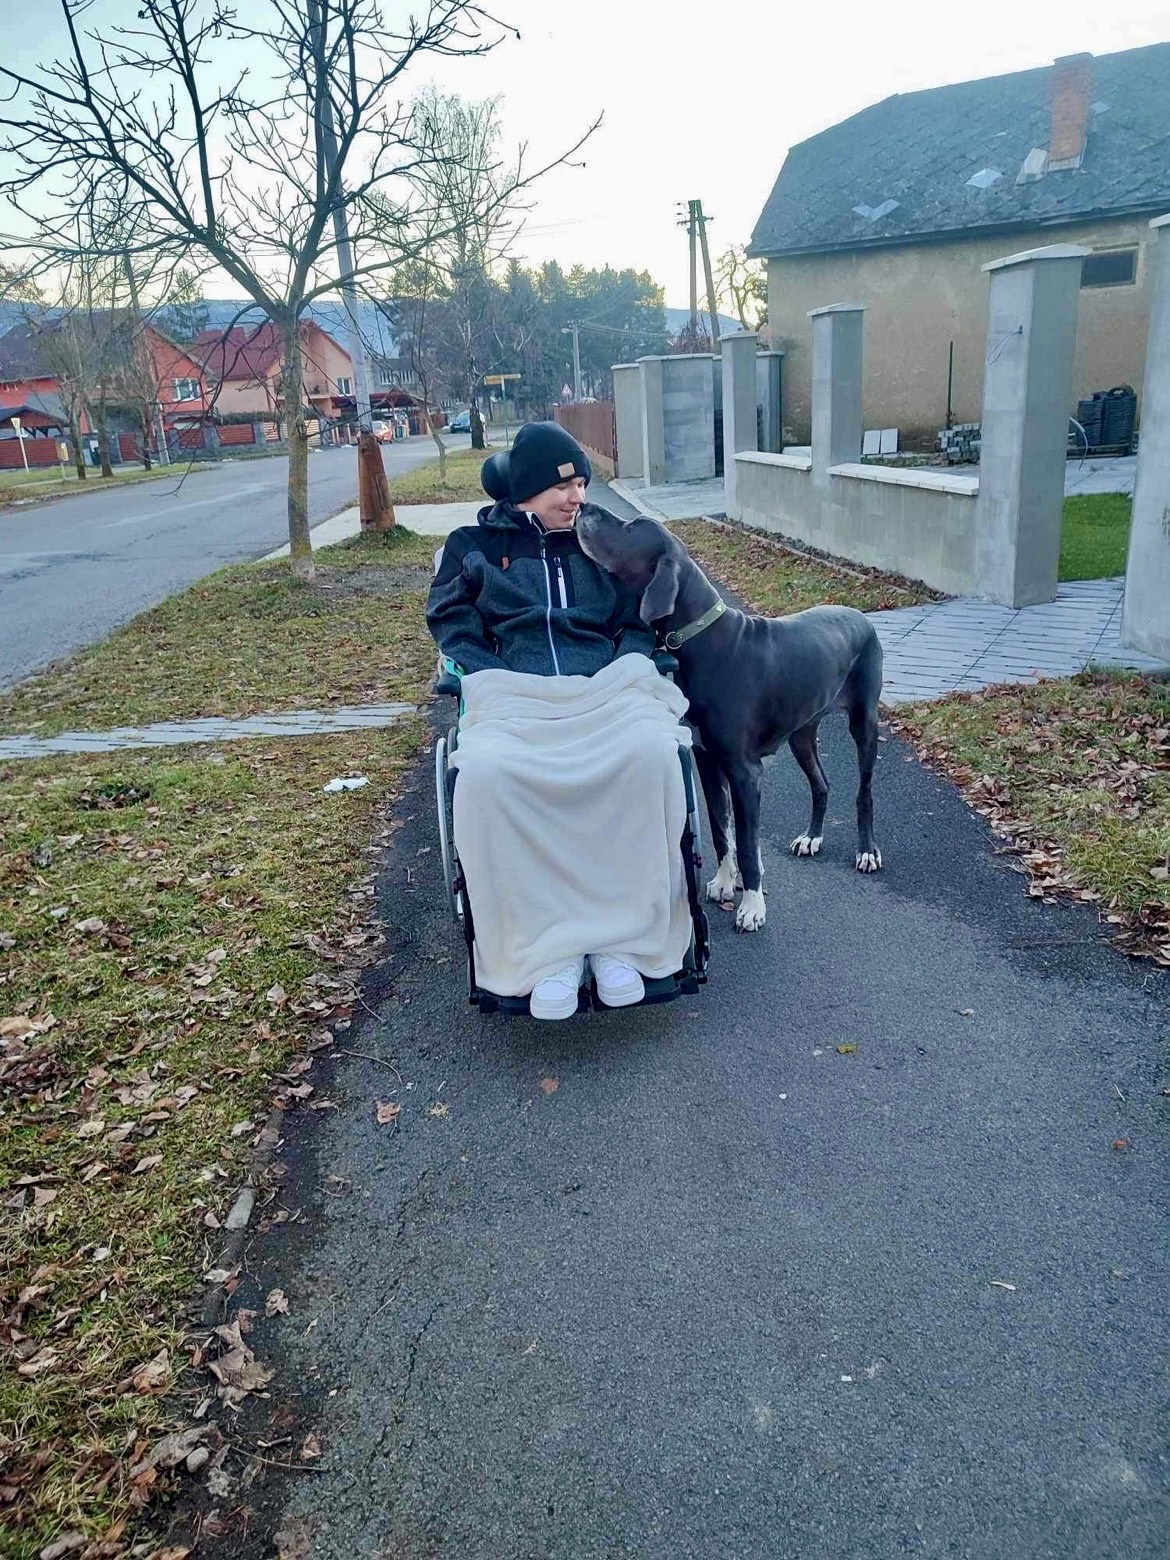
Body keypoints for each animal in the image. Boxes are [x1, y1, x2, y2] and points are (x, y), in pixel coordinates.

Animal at [576, 507, 883, 932]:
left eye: (632, 527)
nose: (583, 507)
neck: (697, 638)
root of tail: (859, 614)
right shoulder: (706, 760)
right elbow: (722, 829)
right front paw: (724, 882)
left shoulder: (744, 772)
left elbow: (750, 846)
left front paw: (752, 906)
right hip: (802, 733)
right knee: (821, 784)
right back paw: (811, 837)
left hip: (863, 722)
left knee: (865, 792)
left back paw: (867, 851)